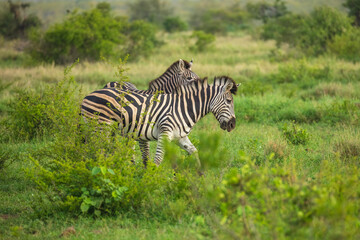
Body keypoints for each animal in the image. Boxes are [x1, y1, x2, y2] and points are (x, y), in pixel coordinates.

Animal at [82, 76, 239, 166]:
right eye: (229, 101)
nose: (233, 125)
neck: (185, 107)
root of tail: (88, 95)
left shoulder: (180, 136)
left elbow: (194, 152)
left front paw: (201, 177)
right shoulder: (165, 133)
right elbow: (157, 160)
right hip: (100, 127)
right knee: (97, 149)